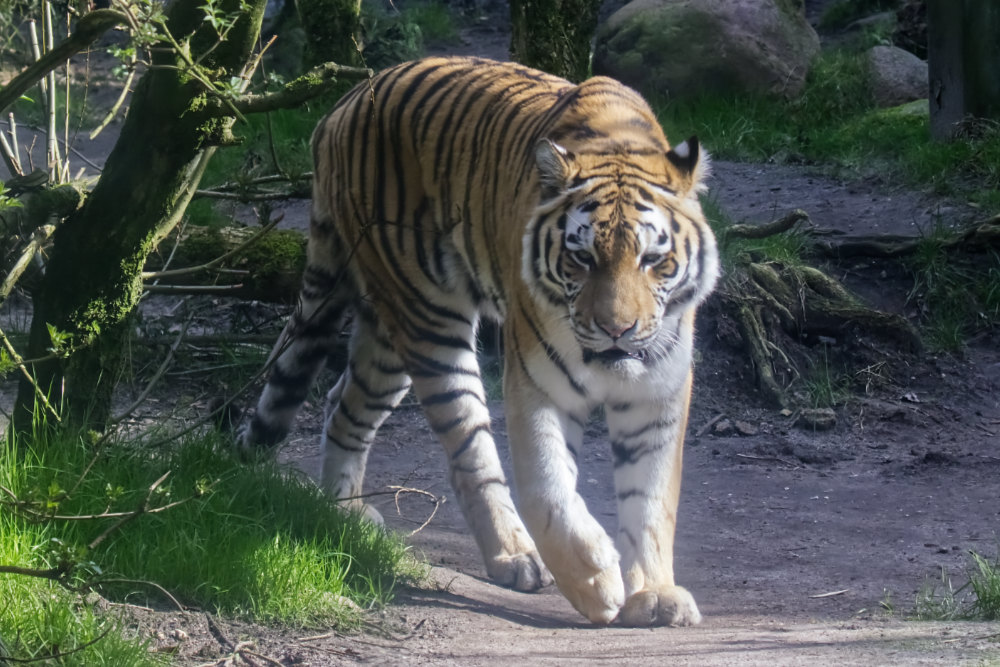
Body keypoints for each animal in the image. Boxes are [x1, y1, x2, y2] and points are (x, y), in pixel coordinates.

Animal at [242, 56, 720, 628]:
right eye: (582, 258)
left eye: (652, 260)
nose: (617, 330)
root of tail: (344, 102)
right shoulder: (537, 379)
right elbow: (545, 487)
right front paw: (593, 581)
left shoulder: (658, 392)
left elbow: (651, 498)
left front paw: (655, 595)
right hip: (428, 318)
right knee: (470, 450)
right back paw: (514, 557)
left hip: (386, 338)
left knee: (343, 405)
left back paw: (345, 515)